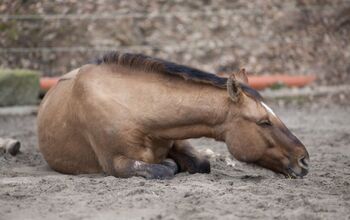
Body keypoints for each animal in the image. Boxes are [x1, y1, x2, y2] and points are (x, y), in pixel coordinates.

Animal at [37, 52, 308, 179]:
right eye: (263, 122)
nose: (304, 160)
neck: (136, 109)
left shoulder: (178, 139)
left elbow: (201, 163)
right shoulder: (116, 163)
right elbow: (164, 168)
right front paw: (171, 165)